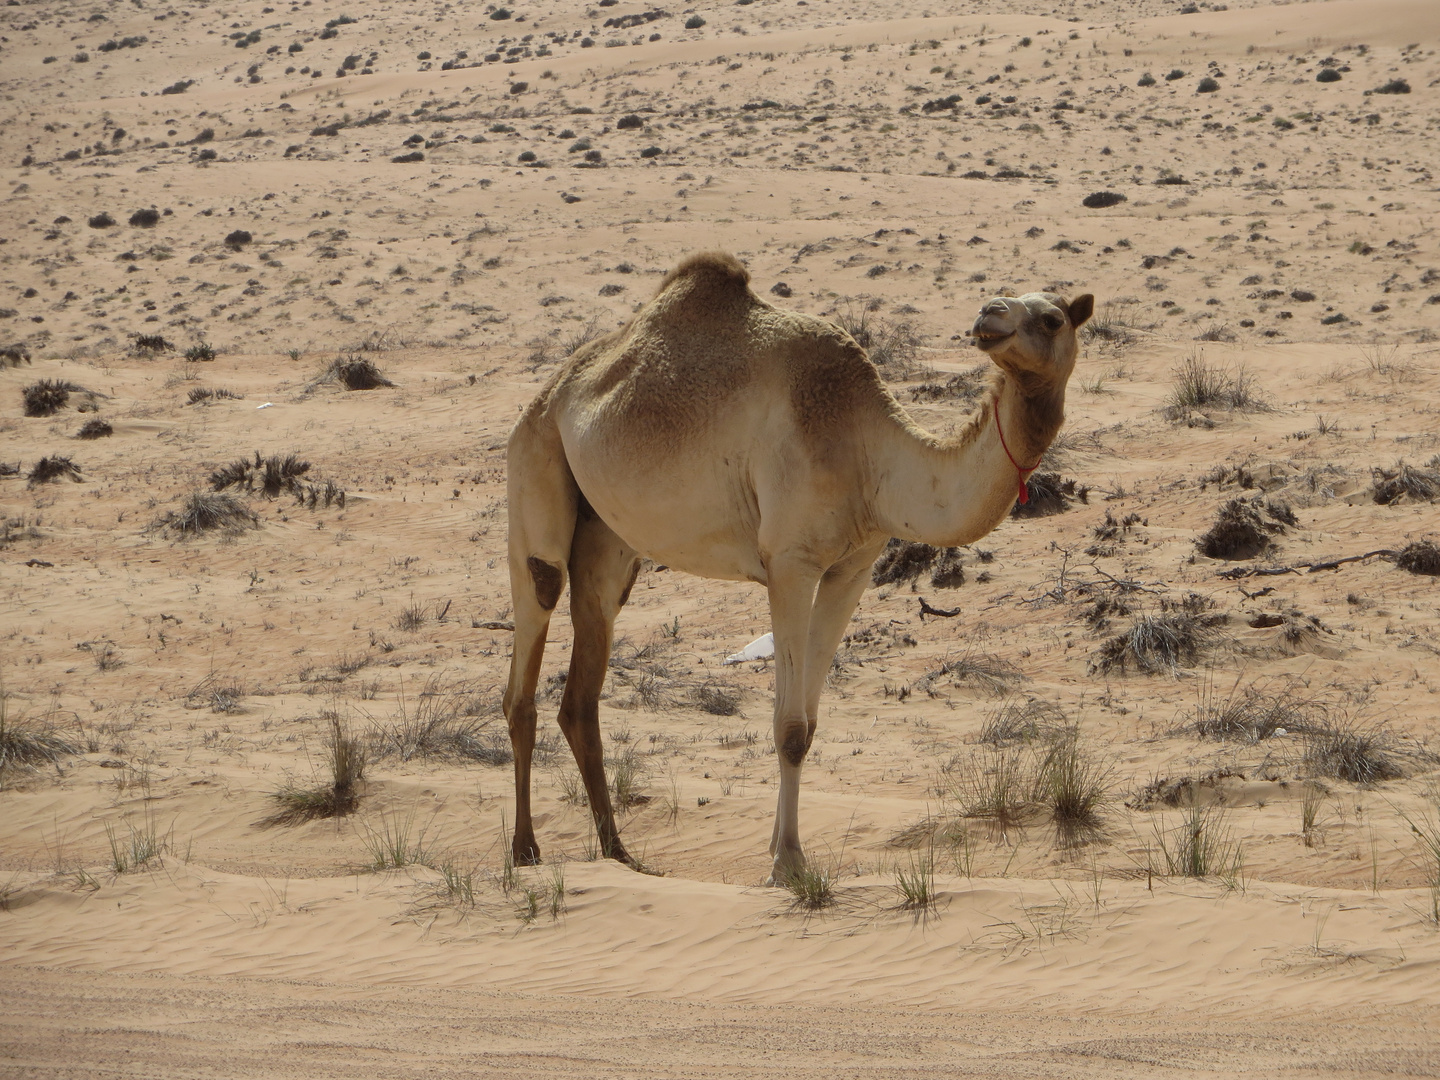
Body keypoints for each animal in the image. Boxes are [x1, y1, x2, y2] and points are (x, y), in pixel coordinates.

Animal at [504, 256, 1088, 887]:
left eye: (1053, 318)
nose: (989, 315)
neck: (869, 454)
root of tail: (551, 391)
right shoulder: (789, 561)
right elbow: (788, 729)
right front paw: (787, 863)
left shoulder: (852, 567)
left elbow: (807, 726)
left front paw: (780, 850)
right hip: (534, 461)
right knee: (535, 620)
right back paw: (524, 849)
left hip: (609, 538)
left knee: (582, 689)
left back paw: (619, 851)